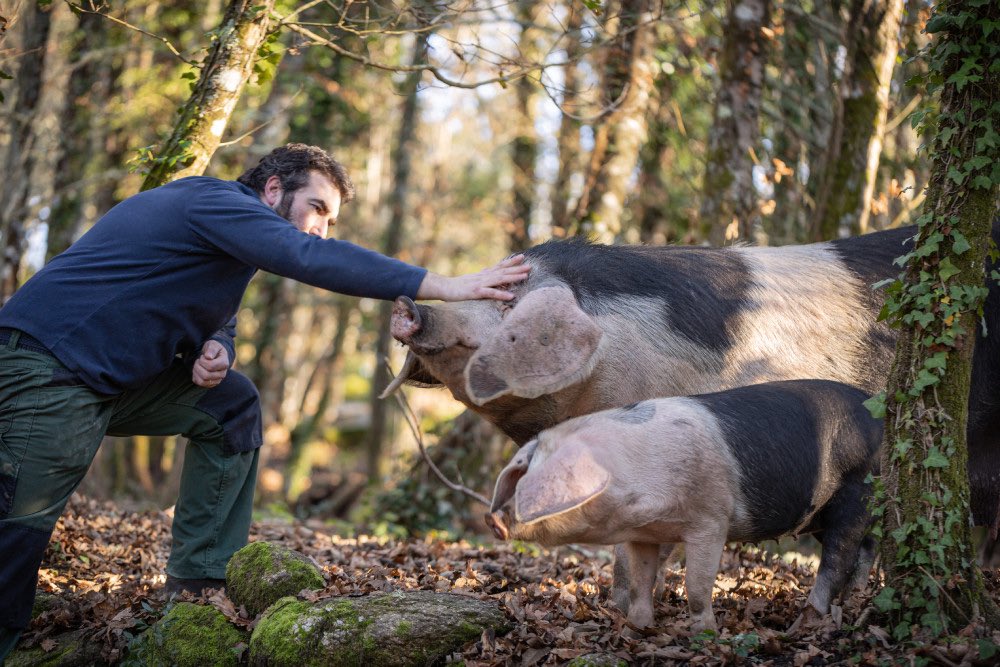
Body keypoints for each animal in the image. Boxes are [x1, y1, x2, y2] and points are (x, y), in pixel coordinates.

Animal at [486, 380, 883, 633]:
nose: (494, 522)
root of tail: (879, 411)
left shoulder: (710, 520)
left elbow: (696, 585)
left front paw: (705, 634)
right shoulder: (643, 534)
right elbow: (640, 582)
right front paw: (638, 629)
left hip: (856, 487)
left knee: (839, 556)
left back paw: (806, 623)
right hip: (823, 514)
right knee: (865, 549)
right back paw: (854, 599)